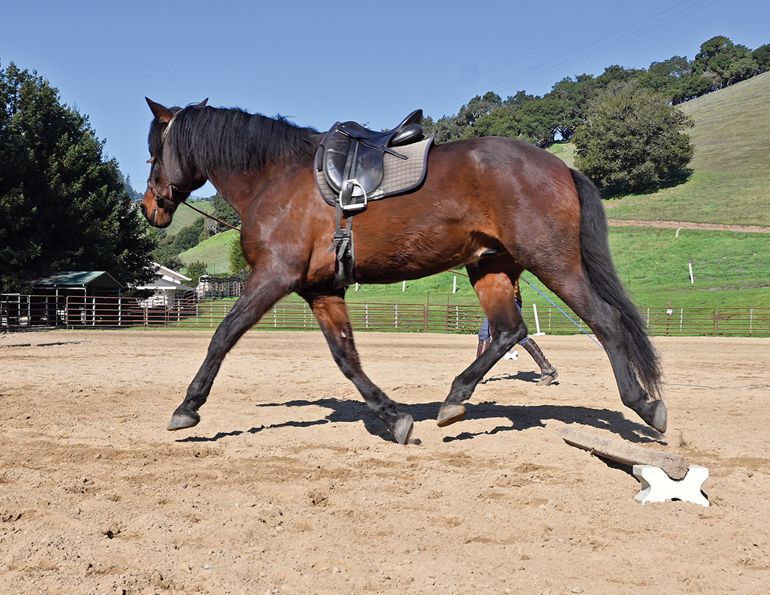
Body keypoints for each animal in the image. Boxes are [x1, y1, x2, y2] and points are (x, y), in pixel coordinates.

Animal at [140, 97, 667, 445]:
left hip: (553, 262)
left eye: (153, 151)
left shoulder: (273, 276)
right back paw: (455, 399)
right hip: (491, 267)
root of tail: (559, 167)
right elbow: (347, 358)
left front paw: (187, 407)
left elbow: (223, 335)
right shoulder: (321, 290)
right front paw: (393, 417)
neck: (278, 177)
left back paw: (644, 404)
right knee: (508, 331)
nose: (150, 208)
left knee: (603, 321)